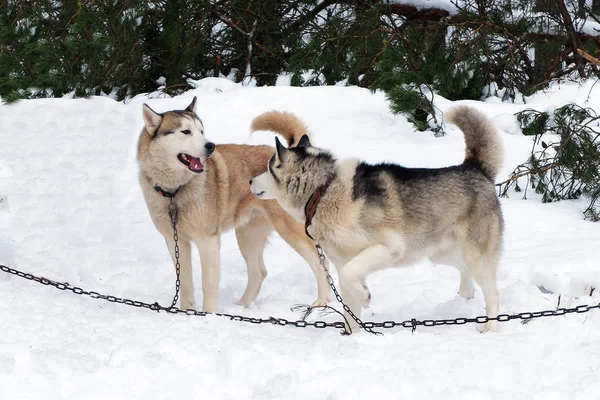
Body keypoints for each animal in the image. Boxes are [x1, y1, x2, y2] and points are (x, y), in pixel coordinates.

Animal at [138, 98, 330, 310]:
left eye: (201, 131)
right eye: (185, 131)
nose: (210, 146)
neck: (175, 192)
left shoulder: (208, 240)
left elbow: (208, 284)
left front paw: (207, 314)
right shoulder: (176, 241)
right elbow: (186, 283)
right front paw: (186, 312)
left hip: (290, 231)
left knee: (321, 263)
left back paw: (322, 301)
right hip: (247, 235)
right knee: (259, 272)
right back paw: (241, 306)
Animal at [251, 106, 504, 332]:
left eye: (269, 167)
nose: (251, 181)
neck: (324, 190)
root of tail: (475, 168)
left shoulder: (389, 248)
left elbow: (350, 274)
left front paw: (365, 296)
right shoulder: (343, 262)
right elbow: (350, 307)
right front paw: (352, 337)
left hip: (474, 254)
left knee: (492, 292)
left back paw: (490, 327)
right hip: (442, 253)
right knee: (465, 271)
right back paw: (466, 294)